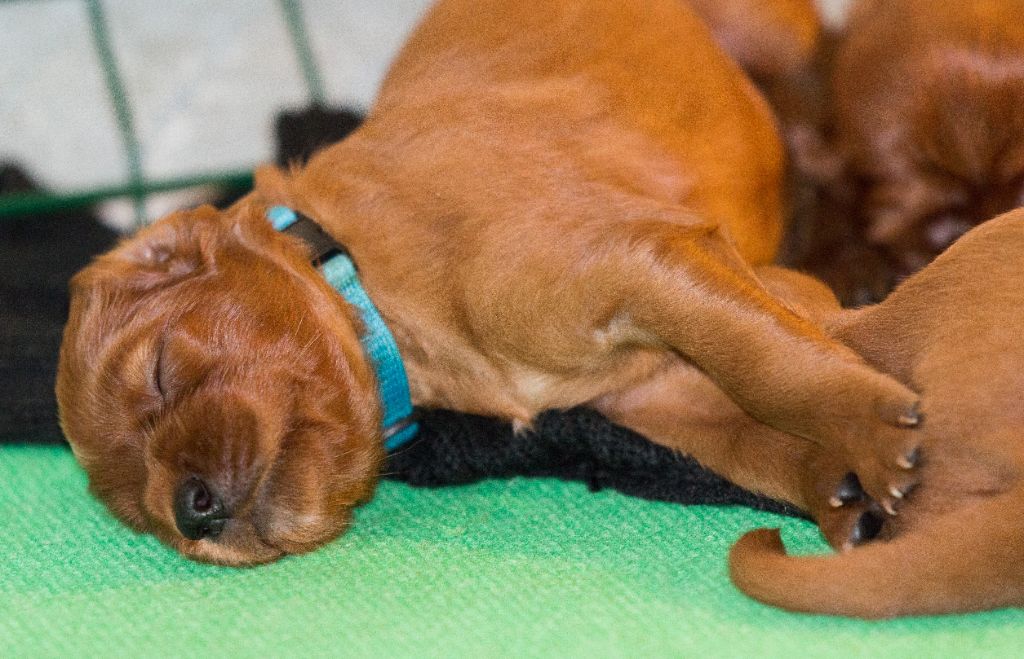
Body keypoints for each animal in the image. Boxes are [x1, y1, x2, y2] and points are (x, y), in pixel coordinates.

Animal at [54, 0, 921, 564]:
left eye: (161, 372)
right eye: (139, 513)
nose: (188, 511)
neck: (369, 282)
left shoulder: (641, 260)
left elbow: (769, 365)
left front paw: (870, 430)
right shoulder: (654, 395)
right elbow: (750, 436)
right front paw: (836, 482)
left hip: (777, 37)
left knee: (824, 109)